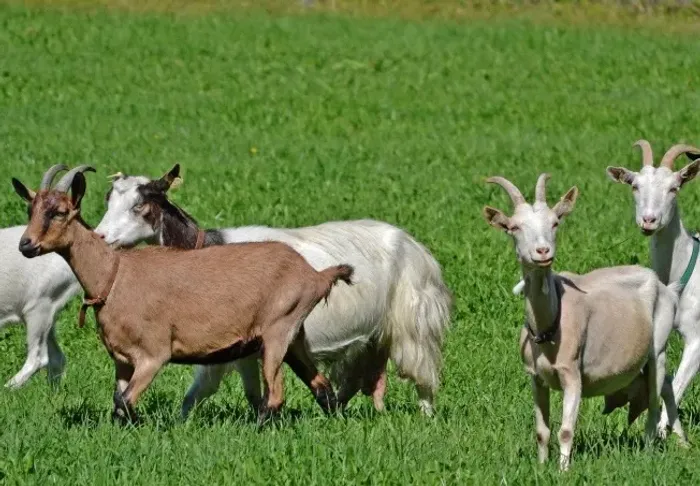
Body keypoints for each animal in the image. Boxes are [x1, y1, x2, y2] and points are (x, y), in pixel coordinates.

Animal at [12, 165, 354, 424]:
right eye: (31, 209)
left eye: (59, 212)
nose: (26, 245)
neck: (114, 275)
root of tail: (314, 274)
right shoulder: (122, 359)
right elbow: (118, 403)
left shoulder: (153, 353)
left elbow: (125, 401)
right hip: (294, 336)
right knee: (322, 387)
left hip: (277, 329)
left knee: (276, 396)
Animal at [93, 165, 452, 417]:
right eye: (109, 200)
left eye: (140, 205)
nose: (100, 237)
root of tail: (417, 247)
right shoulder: (242, 350)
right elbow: (248, 394)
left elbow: (201, 390)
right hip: (371, 339)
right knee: (358, 381)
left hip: (413, 323)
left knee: (422, 377)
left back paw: (425, 415)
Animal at [482, 173, 682, 471]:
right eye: (514, 227)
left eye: (555, 222)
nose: (543, 251)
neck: (548, 327)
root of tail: (664, 287)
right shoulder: (535, 378)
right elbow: (541, 431)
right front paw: (541, 467)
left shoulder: (572, 375)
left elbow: (566, 430)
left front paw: (563, 471)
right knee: (667, 384)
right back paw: (683, 441)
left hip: (658, 344)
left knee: (655, 399)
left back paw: (648, 451)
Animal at [607, 140, 700, 432]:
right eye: (634, 186)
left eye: (674, 187)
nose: (649, 220)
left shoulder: (698, 336)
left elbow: (679, 382)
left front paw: (661, 430)